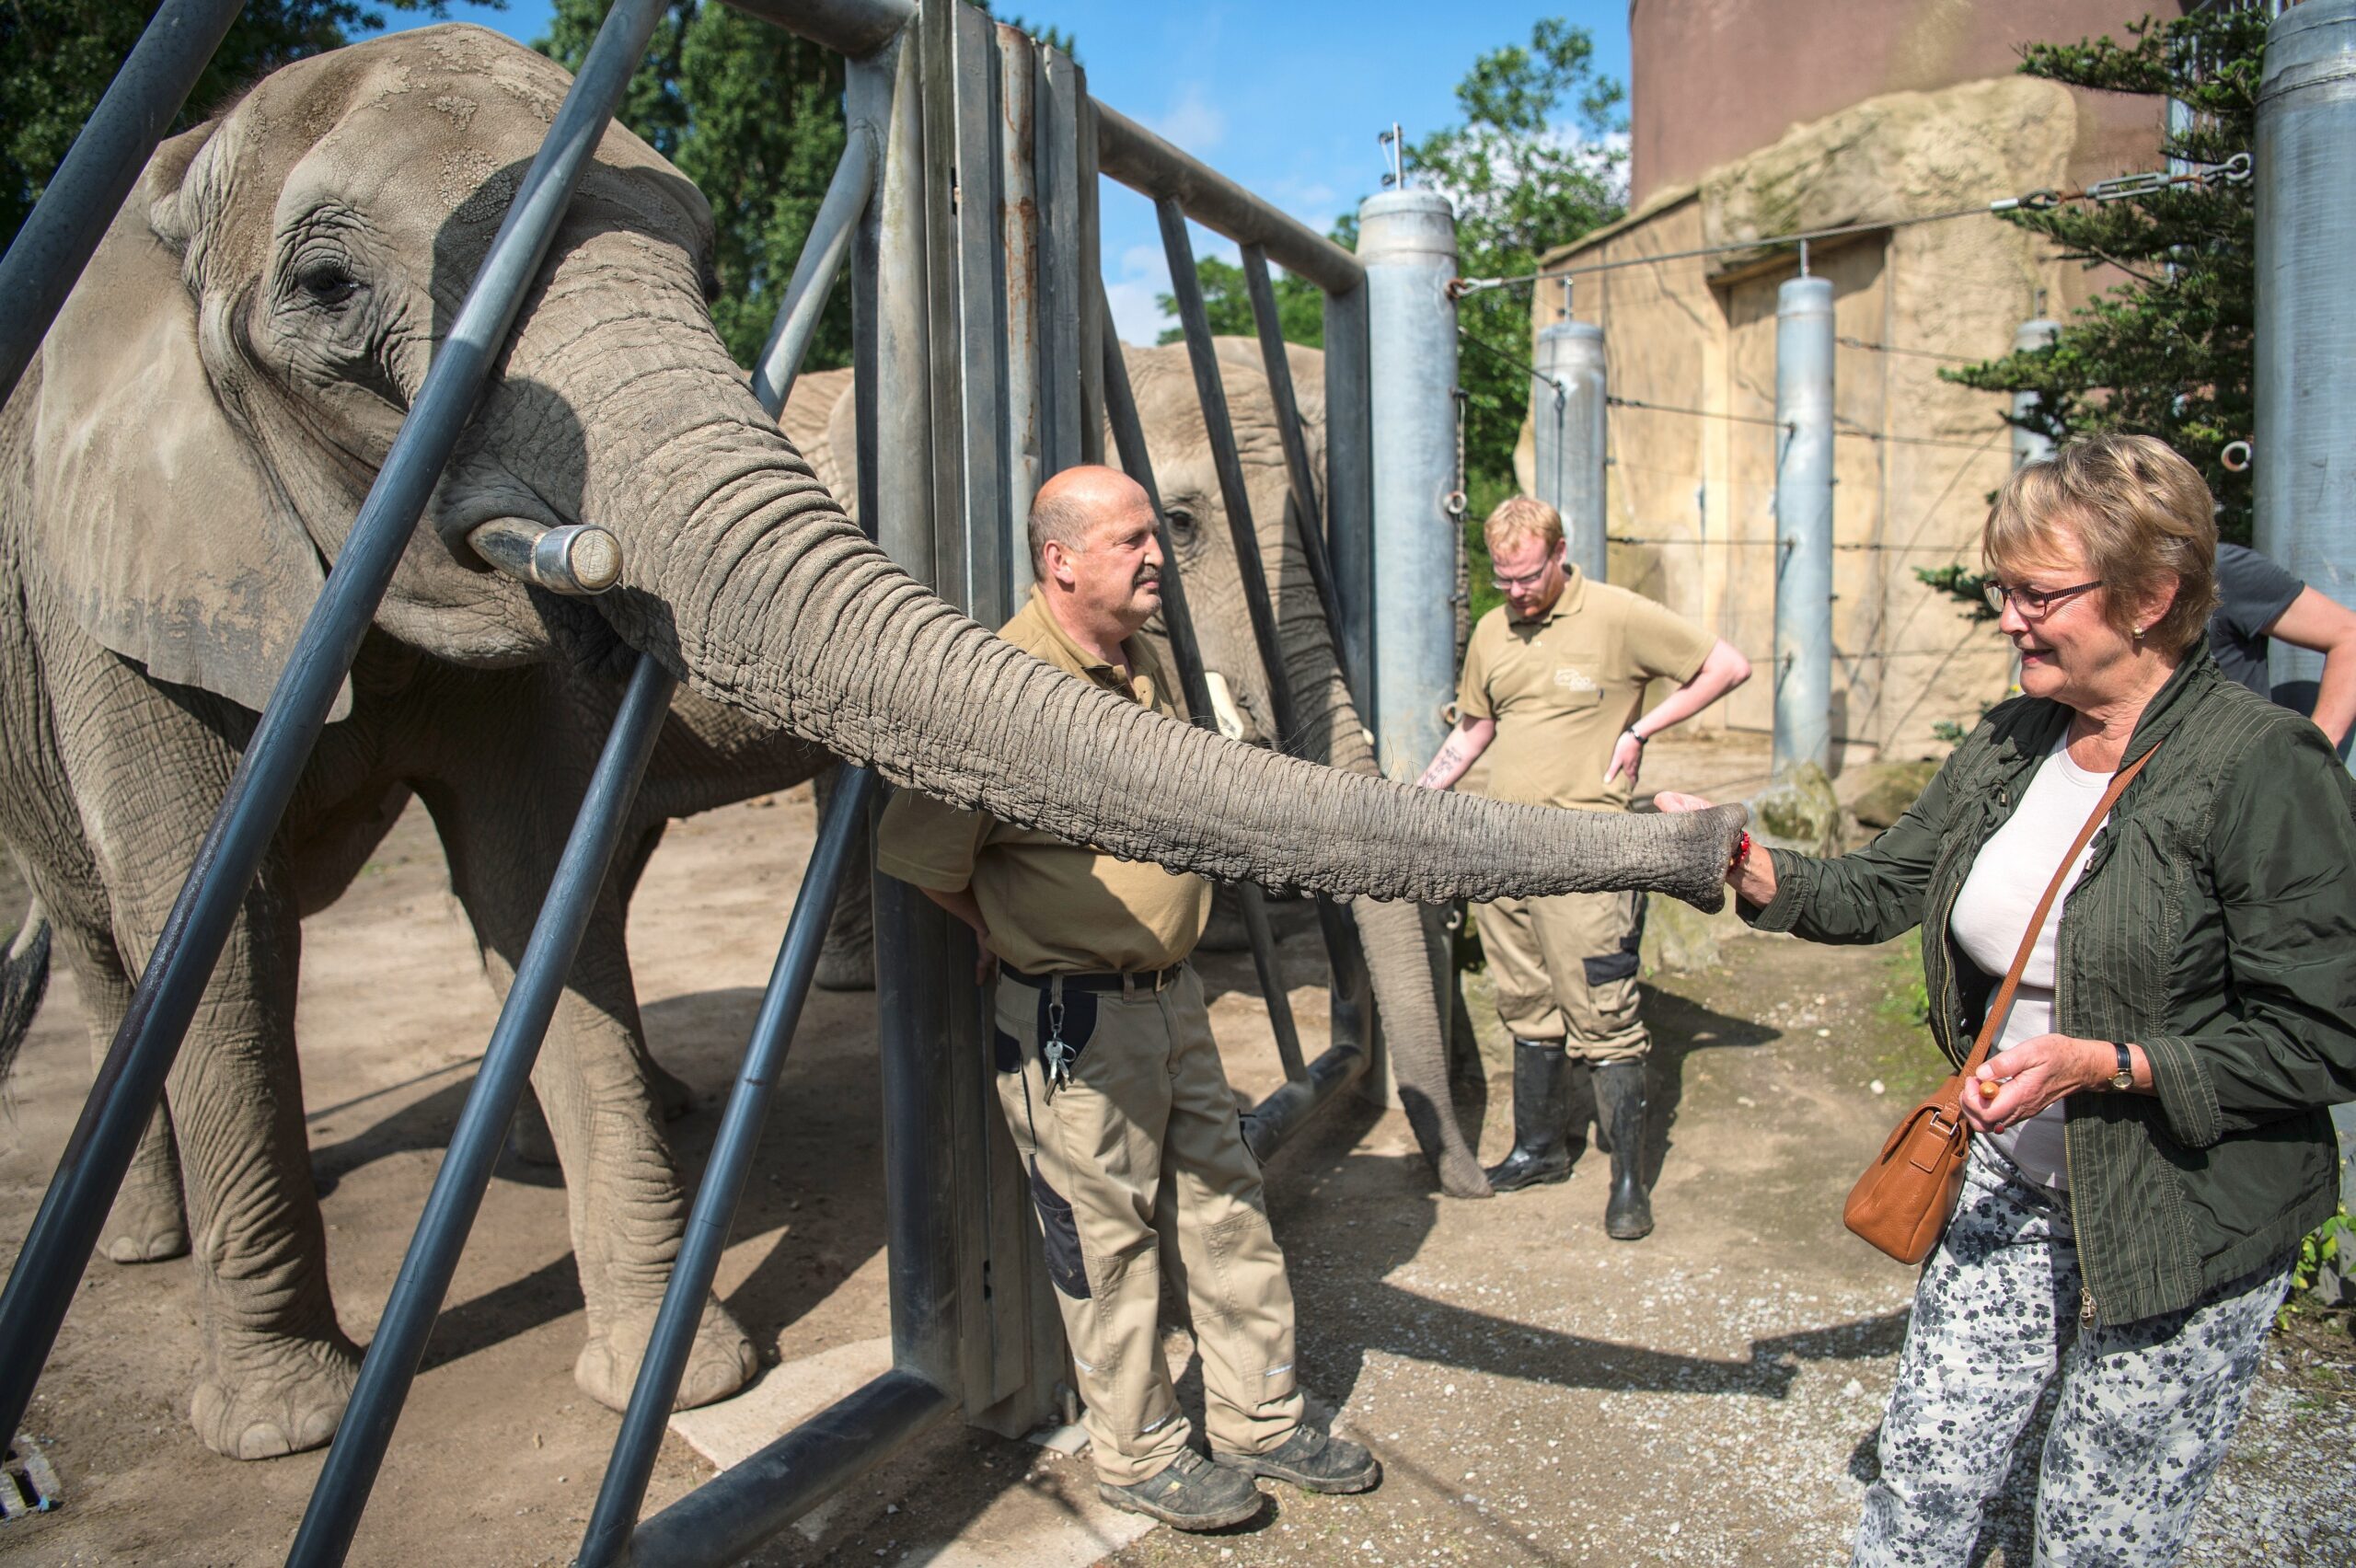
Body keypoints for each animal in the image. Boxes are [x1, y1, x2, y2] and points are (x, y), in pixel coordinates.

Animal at [0, 24, 1734, 1459]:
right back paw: (152, 1245)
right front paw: (291, 1430)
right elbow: (213, 924)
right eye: (1177, 526)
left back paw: (664, 1115)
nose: (1456, 1166)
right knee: (106, 935)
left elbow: (540, 869)